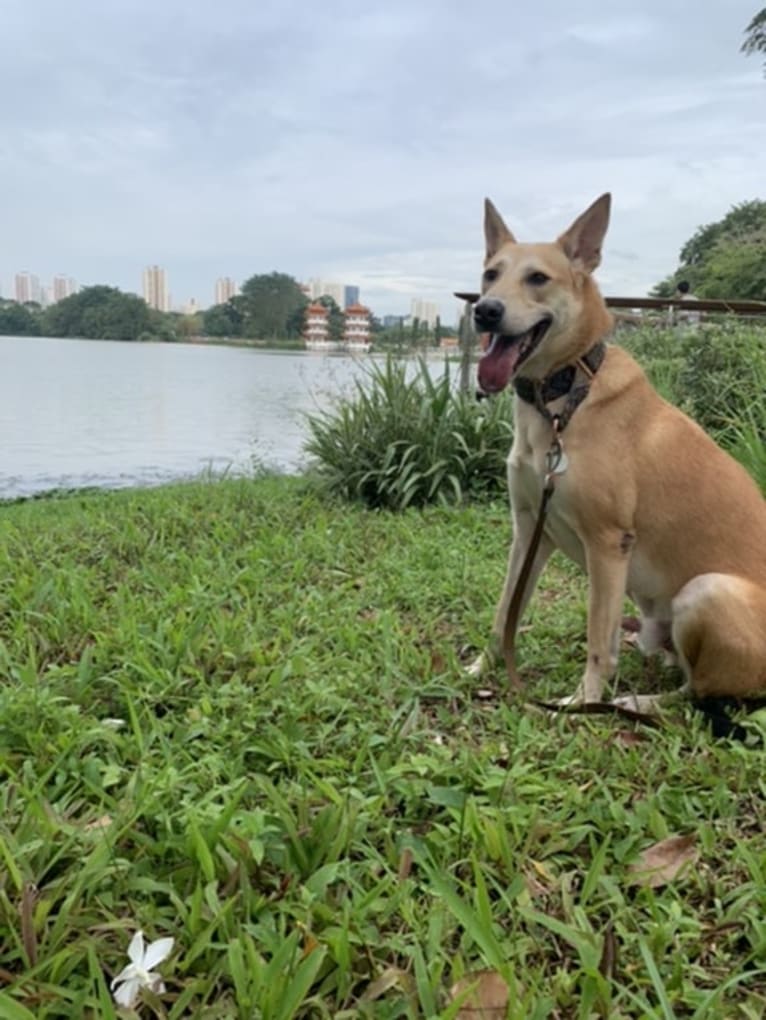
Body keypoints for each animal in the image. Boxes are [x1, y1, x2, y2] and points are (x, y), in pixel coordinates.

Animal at [467, 192, 766, 718]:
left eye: (537, 278)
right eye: (490, 274)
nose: (485, 310)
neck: (565, 394)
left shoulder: (608, 543)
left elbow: (597, 640)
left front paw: (582, 701)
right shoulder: (529, 531)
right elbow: (506, 611)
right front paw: (482, 668)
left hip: (707, 590)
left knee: (701, 694)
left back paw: (639, 701)